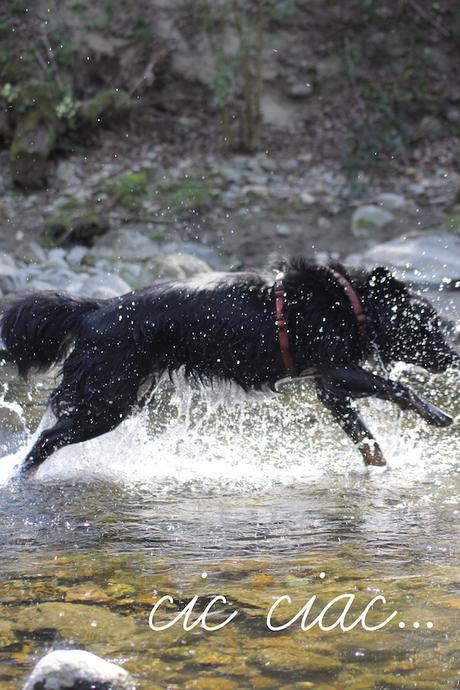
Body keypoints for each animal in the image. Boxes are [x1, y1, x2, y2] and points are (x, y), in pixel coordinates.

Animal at [0, 255, 458, 476]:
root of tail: (94, 309)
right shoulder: (335, 368)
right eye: (428, 323)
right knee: (45, 441)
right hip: (106, 403)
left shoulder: (329, 386)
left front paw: (383, 468)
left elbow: (366, 439)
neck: (348, 300)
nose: (454, 357)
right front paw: (437, 415)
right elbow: (399, 388)